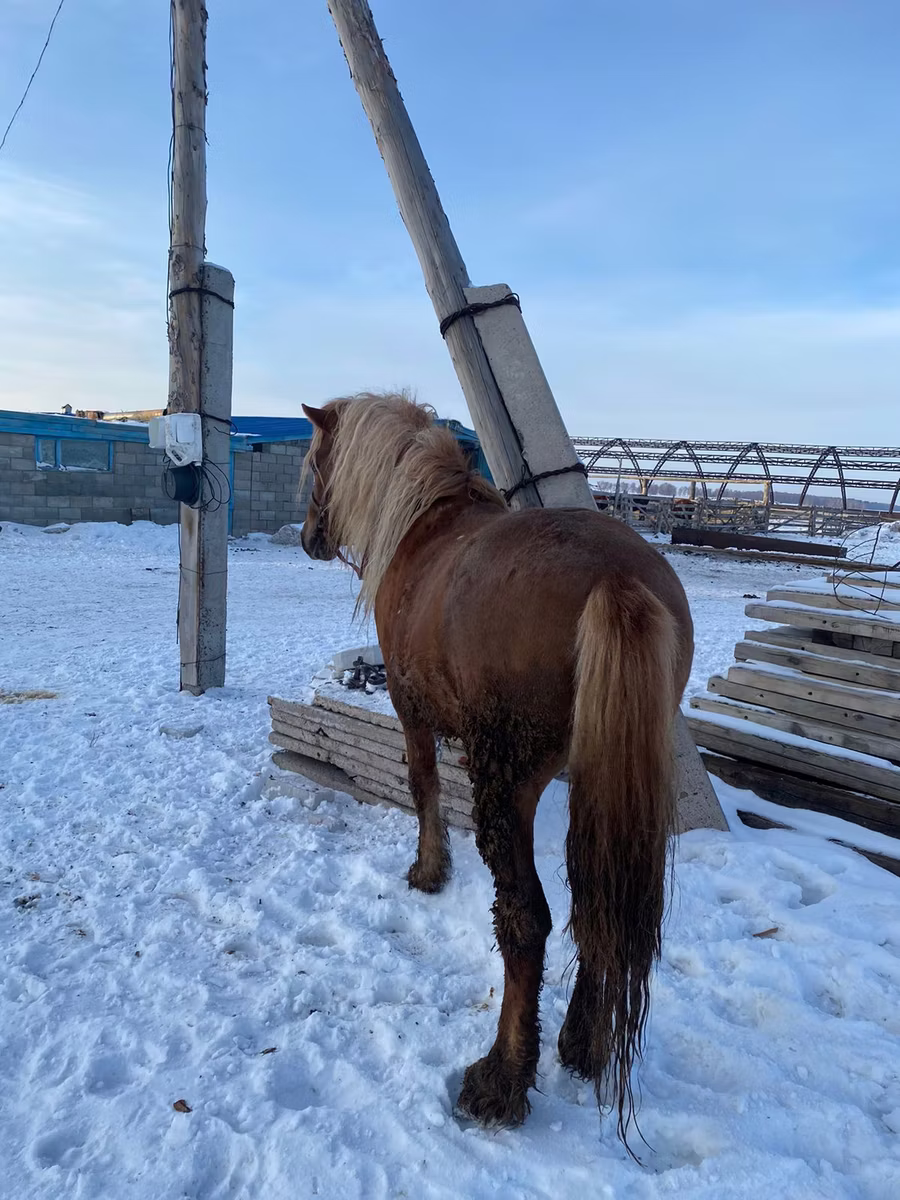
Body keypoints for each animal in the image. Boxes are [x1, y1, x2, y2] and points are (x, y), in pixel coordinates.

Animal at [298, 392, 694, 1142]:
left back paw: (502, 1077)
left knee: (525, 919)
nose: (309, 537)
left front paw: (428, 871)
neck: (425, 523)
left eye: (313, 462)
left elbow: (422, 786)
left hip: (510, 787)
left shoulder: (410, 710)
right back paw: (581, 1046)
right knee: (596, 906)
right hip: (599, 782)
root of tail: (617, 580)